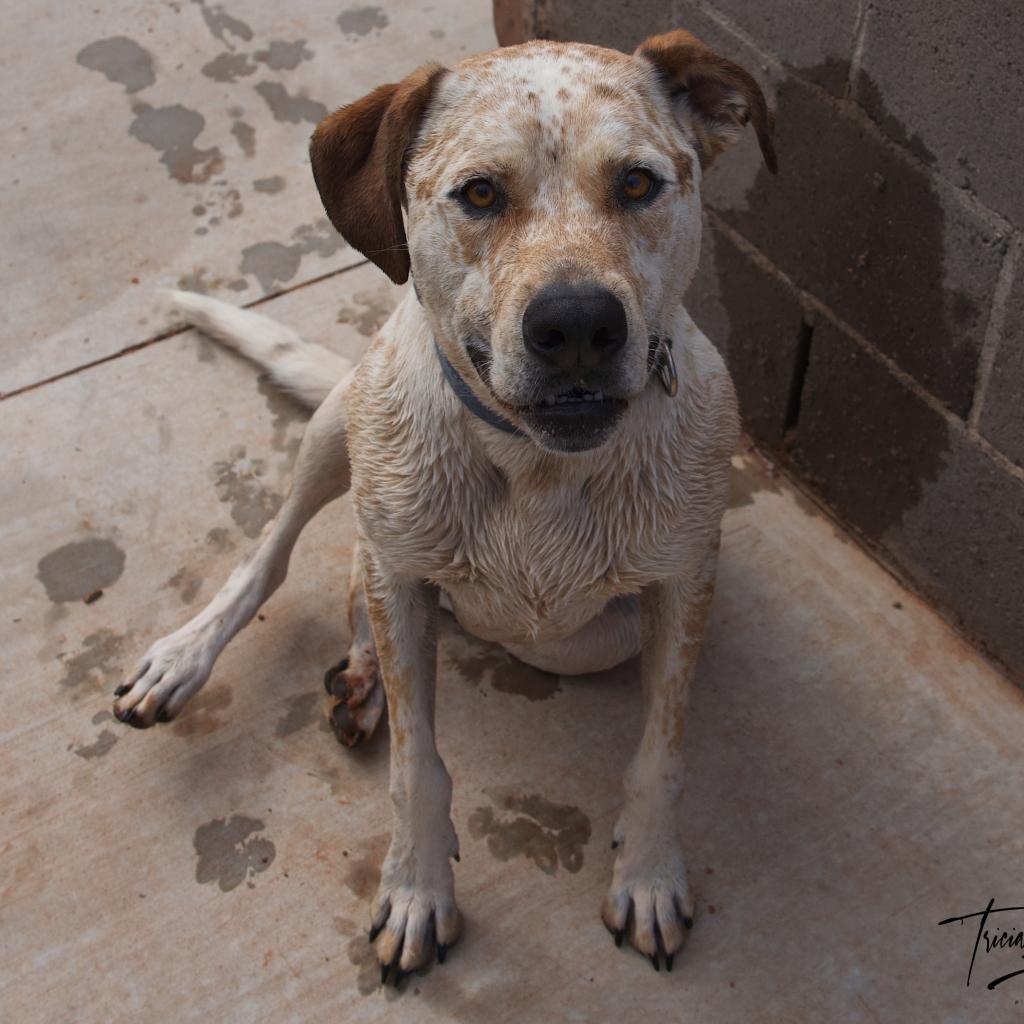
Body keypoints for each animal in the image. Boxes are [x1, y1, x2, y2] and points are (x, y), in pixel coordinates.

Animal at [112, 29, 774, 974]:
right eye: (481, 193)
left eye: (639, 183)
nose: (578, 325)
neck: (533, 465)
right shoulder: (402, 566)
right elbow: (415, 763)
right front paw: (417, 889)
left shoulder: (682, 587)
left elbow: (661, 752)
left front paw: (649, 874)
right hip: (336, 424)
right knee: (282, 557)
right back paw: (196, 656)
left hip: (588, 636)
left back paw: (358, 672)